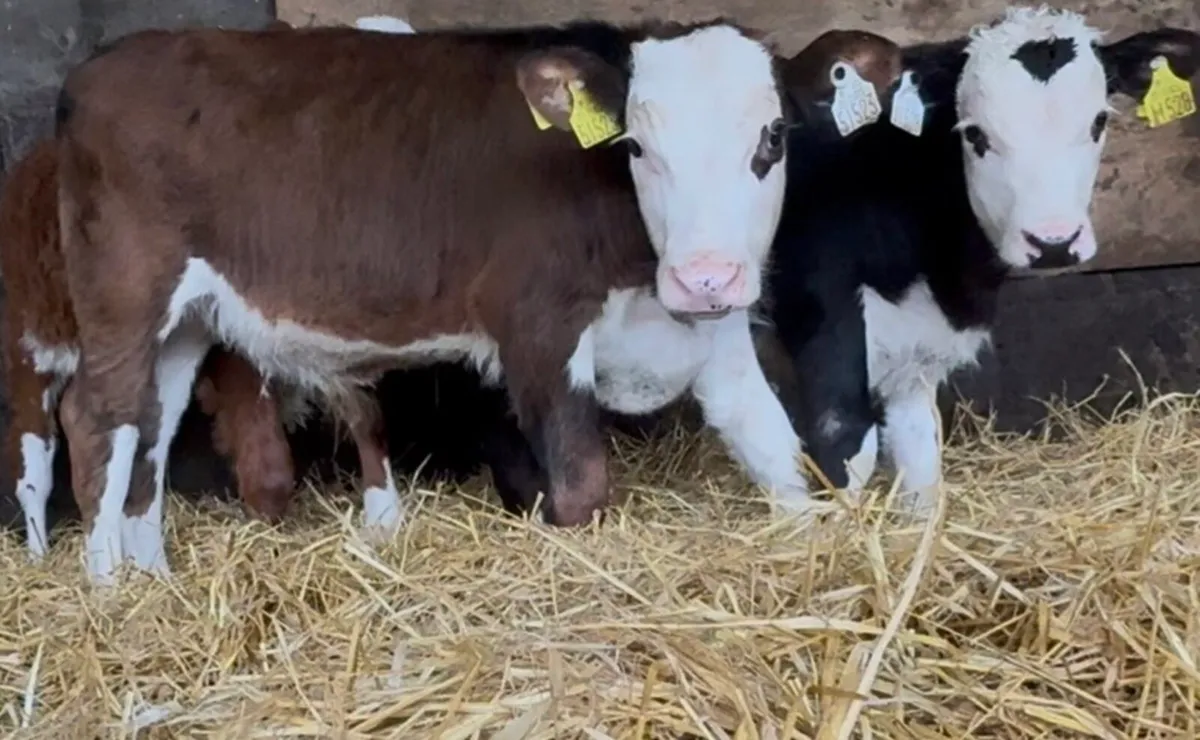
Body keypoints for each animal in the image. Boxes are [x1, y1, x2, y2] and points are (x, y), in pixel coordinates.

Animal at [52, 19, 909, 586]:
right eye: (635, 146)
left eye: (773, 137)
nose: (706, 277)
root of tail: (95, 73)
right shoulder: (538, 332)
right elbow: (581, 487)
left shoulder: (715, 338)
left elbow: (777, 453)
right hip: (126, 292)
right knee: (97, 419)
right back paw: (108, 591)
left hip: (187, 322)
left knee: (152, 427)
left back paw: (156, 577)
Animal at [761, 6, 1200, 515]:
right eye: (974, 134)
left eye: (1098, 123)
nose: (1053, 241)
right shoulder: (825, 326)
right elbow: (844, 451)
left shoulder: (919, 351)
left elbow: (921, 461)